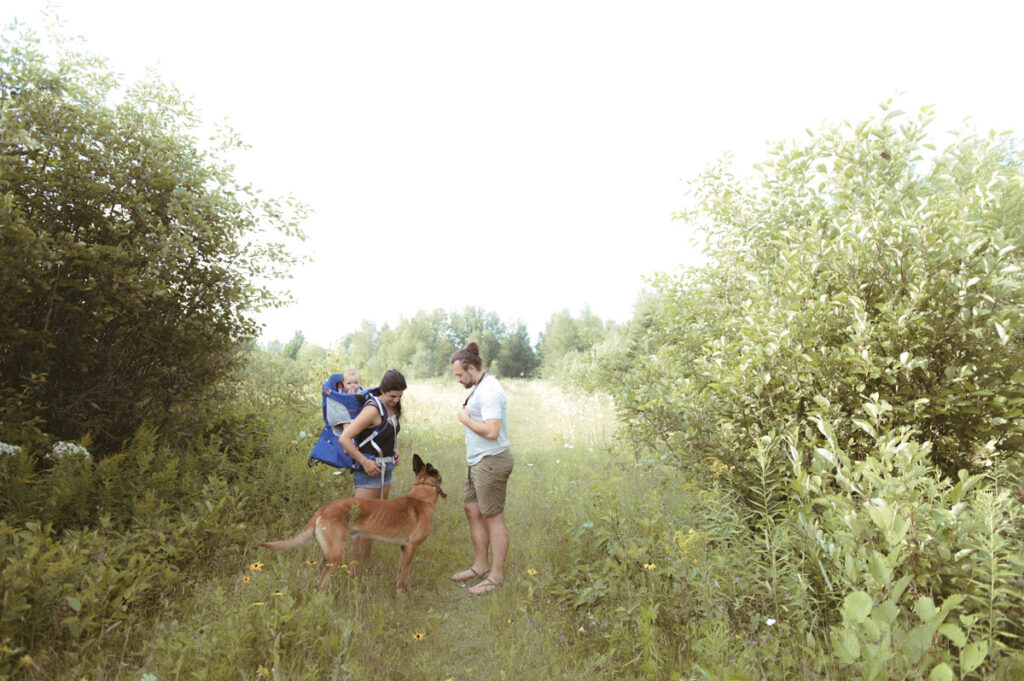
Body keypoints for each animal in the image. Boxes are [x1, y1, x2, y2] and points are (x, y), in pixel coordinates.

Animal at [260, 456, 444, 589]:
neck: (421, 496)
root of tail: (324, 508)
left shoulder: (405, 548)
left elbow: (404, 575)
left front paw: (407, 590)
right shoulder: (411, 547)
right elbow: (401, 578)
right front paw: (400, 599)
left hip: (328, 555)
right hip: (336, 555)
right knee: (321, 584)